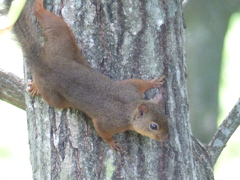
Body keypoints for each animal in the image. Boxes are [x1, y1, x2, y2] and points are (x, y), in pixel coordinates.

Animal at [4, 0, 169, 153]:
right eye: (153, 126)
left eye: (165, 117)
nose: (166, 137)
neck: (130, 107)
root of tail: (42, 61)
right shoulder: (109, 121)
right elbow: (102, 130)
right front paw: (112, 143)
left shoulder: (130, 88)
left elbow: (138, 82)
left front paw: (153, 82)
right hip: (53, 95)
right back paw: (35, 86)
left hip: (62, 42)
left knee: (50, 20)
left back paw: (38, 5)